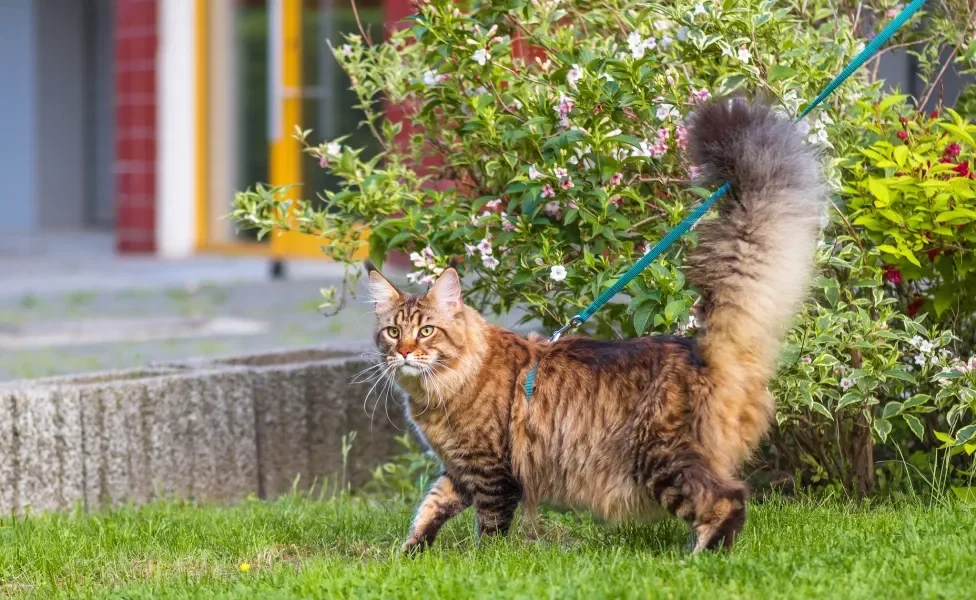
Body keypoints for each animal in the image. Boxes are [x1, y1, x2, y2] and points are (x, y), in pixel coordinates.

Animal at [364, 97, 824, 552]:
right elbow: (428, 509)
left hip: (661, 459)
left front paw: (483, 560)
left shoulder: (492, 470)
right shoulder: (458, 471)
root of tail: (700, 349)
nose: (405, 351)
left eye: (426, 331)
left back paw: (698, 559)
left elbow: (489, 528)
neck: (440, 389)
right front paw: (409, 555)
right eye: (393, 332)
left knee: (729, 500)